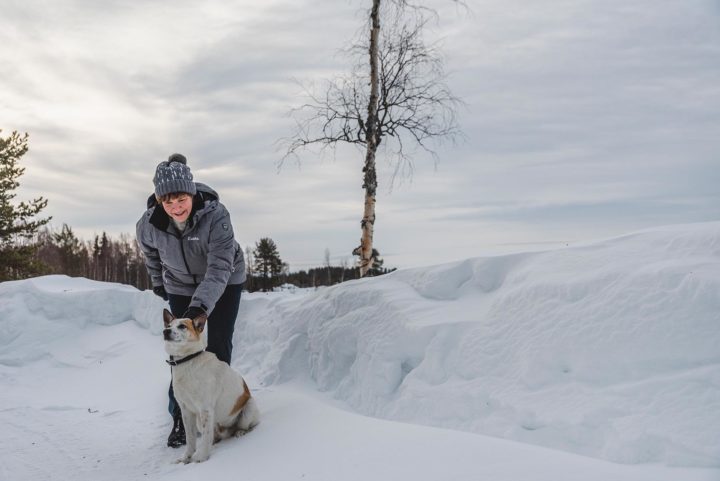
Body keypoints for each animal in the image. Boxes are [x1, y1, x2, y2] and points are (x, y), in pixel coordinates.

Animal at [162, 308, 258, 462]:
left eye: (182, 326)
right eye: (169, 325)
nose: (166, 331)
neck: (188, 361)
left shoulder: (205, 409)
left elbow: (205, 438)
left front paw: (201, 457)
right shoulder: (186, 410)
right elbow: (190, 439)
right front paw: (186, 457)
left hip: (248, 407)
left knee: (245, 426)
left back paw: (240, 432)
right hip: (200, 422)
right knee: (213, 435)